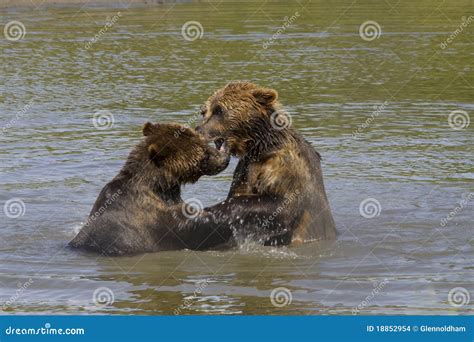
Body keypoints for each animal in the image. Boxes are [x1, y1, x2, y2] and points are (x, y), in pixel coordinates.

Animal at [69, 121, 233, 255]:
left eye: (204, 143)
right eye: (203, 154)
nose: (225, 158)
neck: (159, 185)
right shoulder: (153, 217)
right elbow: (192, 226)